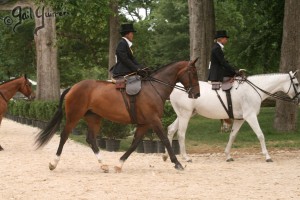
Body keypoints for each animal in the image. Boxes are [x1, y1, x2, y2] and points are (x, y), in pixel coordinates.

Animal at [34, 59, 199, 172]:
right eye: (193, 73)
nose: (197, 94)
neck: (155, 88)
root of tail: (73, 87)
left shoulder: (145, 123)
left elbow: (135, 143)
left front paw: (119, 164)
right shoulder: (153, 120)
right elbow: (164, 139)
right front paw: (177, 163)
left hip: (93, 118)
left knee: (91, 139)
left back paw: (104, 164)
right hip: (74, 116)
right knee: (64, 135)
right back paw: (53, 163)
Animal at [165, 71, 298, 162]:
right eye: (296, 84)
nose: (299, 99)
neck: (252, 90)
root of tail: (176, 87)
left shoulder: (240, 119)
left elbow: (232, 136)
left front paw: (228, 155)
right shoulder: (250, 116)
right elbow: (260, 135)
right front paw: (267, 156)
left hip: (184, 115)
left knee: (171, 129)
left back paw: (167, 155)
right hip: (185, 115)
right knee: (181, 134)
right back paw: (185, 157)